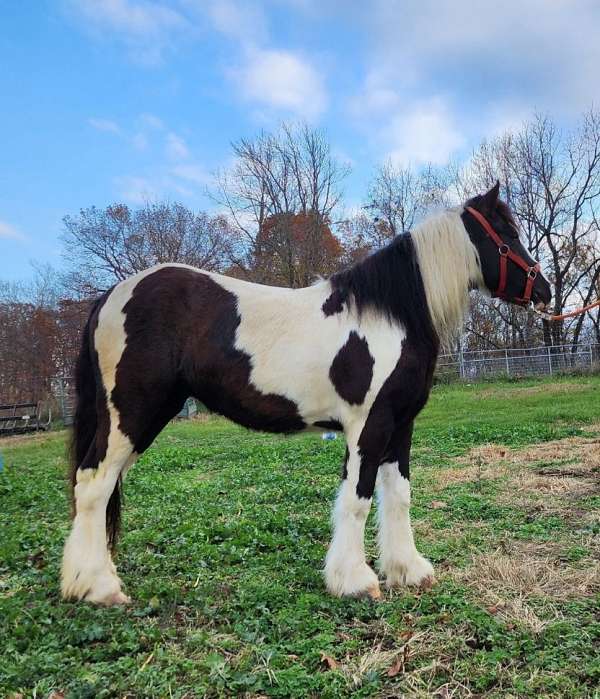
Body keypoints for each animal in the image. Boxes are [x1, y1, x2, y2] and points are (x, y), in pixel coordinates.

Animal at [62, 186, 552, 608]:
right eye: (508, 235)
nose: (545, 291)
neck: (390, 316)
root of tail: (111, 297)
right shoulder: (368, 426)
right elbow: (357, 498)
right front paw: (354, 581)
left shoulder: (400, 425)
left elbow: (398, 495)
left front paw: (408, 570)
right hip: (131, 414)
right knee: (93, 484)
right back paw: (98, 587)